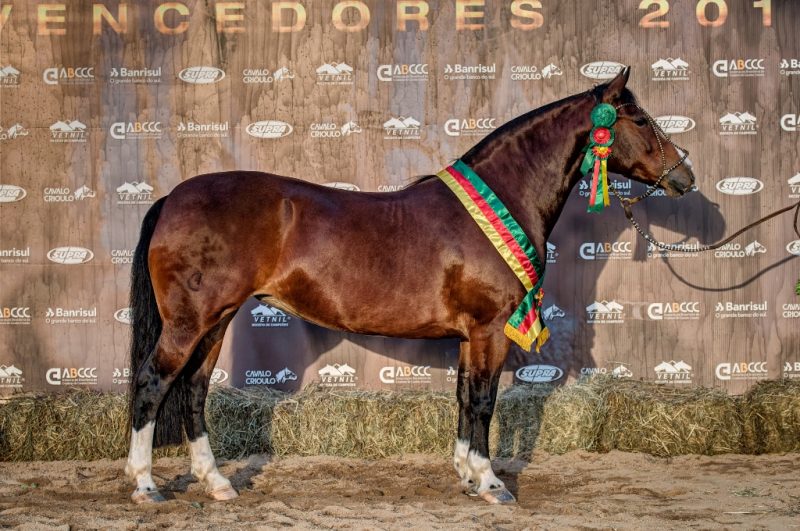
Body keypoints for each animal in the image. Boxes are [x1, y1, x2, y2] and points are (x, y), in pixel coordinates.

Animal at [125, 66, 695, 505]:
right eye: (640, 119)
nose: (684, 177)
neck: (503, 199)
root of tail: (172, 198)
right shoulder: (489, 330)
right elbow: (484, 402)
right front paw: (492, 484)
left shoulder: (469, 336)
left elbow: (465, 398)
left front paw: (467, 475)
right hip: (190, 322)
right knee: (153, 383)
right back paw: (146, 485)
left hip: (216, 321)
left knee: (194, 391)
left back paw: (217, 483)